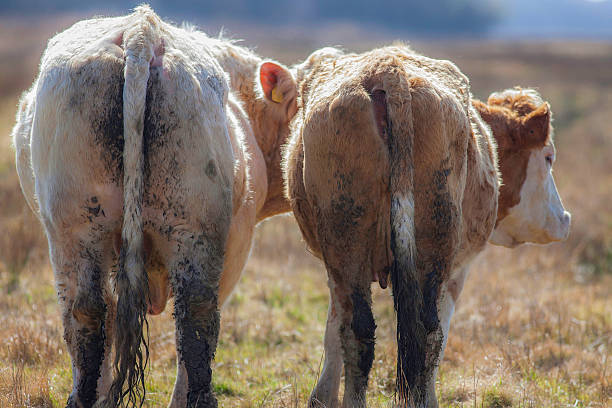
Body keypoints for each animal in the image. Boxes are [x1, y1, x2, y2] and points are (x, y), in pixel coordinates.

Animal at [9, 6, 296, 408]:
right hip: (195, 232)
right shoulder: (238, 241)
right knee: (196, 319)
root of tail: (141, 31)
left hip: (77, 230)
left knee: (88, 314)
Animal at [284, 46, 572, 406]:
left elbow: (333, 329)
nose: (565, 219)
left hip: (348, 241)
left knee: (363, 329)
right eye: (548, 157)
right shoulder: (459, 270)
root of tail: (390, 72)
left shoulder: (335, 270)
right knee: (426, 332)